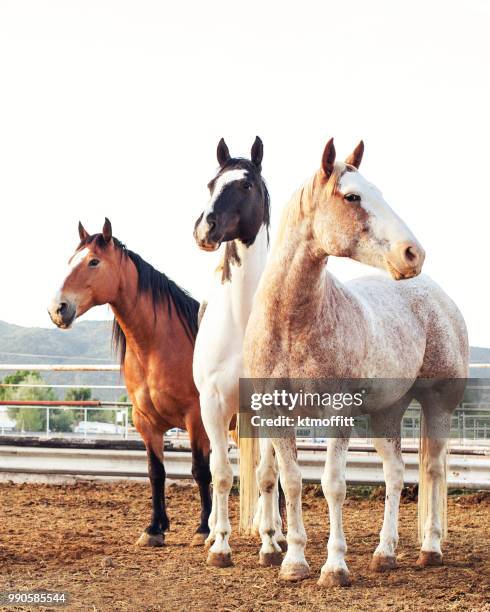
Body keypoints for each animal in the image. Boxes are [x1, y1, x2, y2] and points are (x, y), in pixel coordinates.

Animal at [47, 221, 212, 548]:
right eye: (70, 261)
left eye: (93, 262)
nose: (57, 309)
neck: (159, 346)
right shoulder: (145, 421)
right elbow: (155, 472)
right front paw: (155, 528)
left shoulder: (195, 418)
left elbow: (200, 470)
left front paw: (202, 530)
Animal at [243, 136, 468, 584]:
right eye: (352, 196)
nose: (412, 254)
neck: (293, 324)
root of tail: (437, 296)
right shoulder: (276, 415)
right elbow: (291, 482)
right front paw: (294, 561)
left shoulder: (338, 413)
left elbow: (333, 484)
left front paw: (334, 567)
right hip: (387, 413)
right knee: (396, 473)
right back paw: (385, 553)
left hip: (438, 404)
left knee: (434, 471)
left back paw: (430, 549)